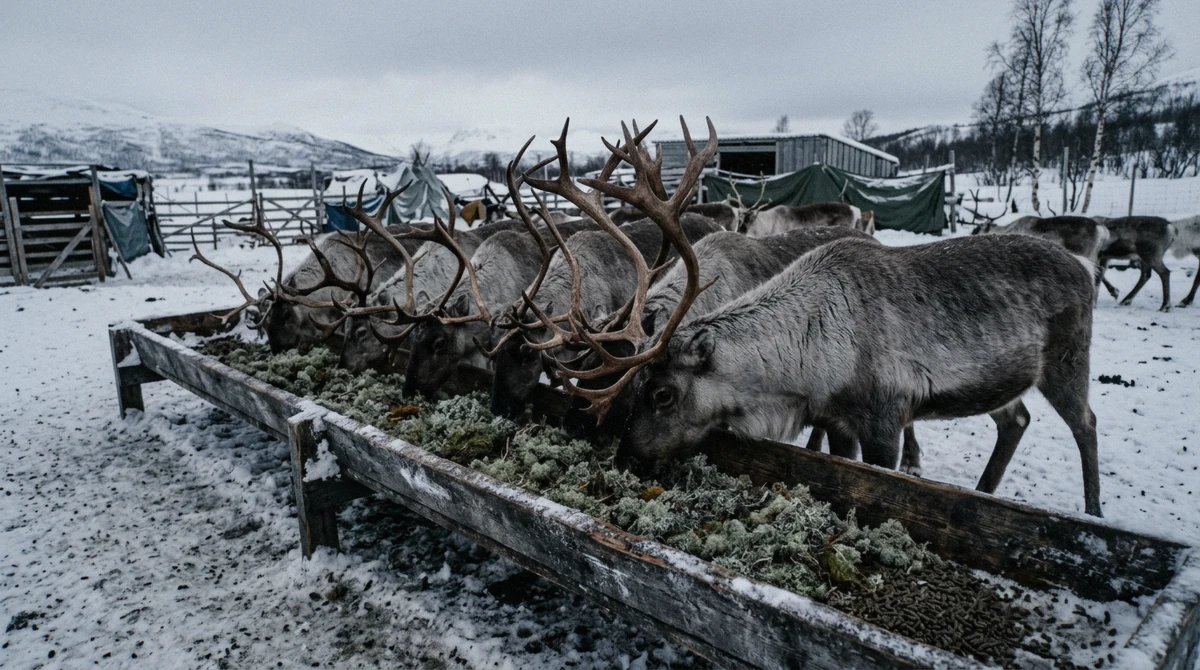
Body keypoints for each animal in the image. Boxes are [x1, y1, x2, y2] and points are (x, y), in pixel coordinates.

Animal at [522, 117, 1103, 518]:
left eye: (662, 394)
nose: (624, 458)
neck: (812, 354)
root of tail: (1084, 267)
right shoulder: (839, 421)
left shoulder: (884, 419)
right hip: (1005, 377)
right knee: (1017, 419)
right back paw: (983, 495)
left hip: (1067, 360)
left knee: (1086, 424)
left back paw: (1092, 511)